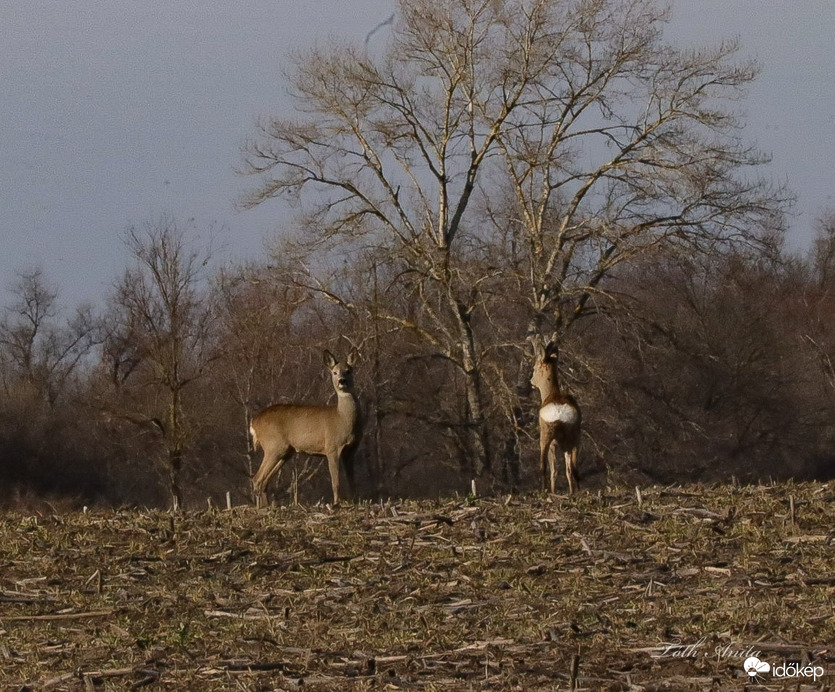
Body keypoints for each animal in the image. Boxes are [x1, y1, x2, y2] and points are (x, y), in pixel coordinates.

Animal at [251, 348, 362, 506]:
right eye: (334, 372)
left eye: (348, 371)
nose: (342, 381)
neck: (342, 419)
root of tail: (254, 422)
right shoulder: (332, 447)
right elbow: (335, 482)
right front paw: (336, 503)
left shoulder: (351, 450)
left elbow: (352, 482)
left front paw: (354, 500)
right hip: (273, 446)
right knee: (257, 478)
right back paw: (262, 507)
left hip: (286, 451)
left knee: (264, 480)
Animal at [528, 334, 580, 492]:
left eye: (534, 367)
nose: (531, 381)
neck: (552, 395)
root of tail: (559, 412)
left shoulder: (552, 444)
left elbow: (553, 470)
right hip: (571, 438)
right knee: (571, 468)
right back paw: (574, 492)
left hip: (548, 436)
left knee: (546, 467)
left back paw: (546, 491)